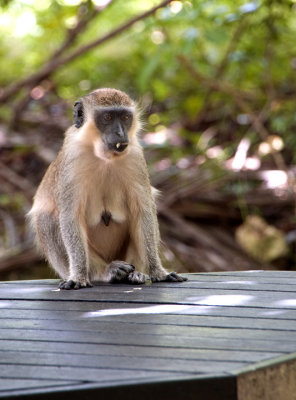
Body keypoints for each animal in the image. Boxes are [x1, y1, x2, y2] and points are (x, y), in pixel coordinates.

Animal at [29, 87, 187, 290]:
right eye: (108, 117)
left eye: (125, 117)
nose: (120, 133)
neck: (105, 157)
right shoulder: (73, 157)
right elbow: (70, 216)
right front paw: (79, 276)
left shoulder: (135, 155)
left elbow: (143, 211)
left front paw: (158, 272)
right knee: (46, 218)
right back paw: (106, 272)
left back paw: (135, 273)